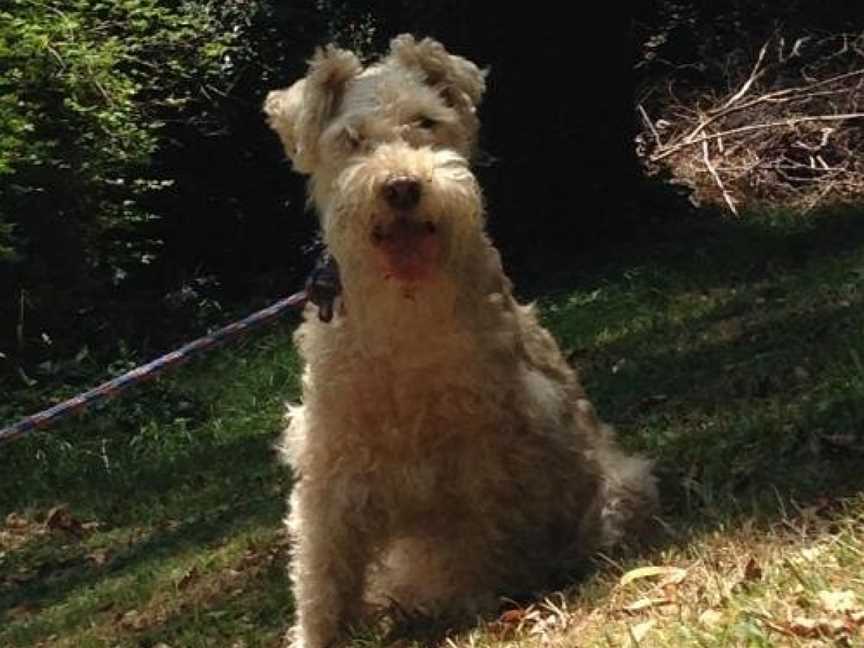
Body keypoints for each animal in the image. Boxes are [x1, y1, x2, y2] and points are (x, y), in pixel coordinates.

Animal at [264, 35, 656, 648]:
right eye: (351, 138)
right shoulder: (331, 463)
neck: (404, 315)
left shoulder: (484, 451)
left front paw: (471, 607)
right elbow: (322, 570)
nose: (401, 187)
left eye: (427, 121)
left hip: (620, 487)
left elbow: (474, 543)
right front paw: (317, 634)